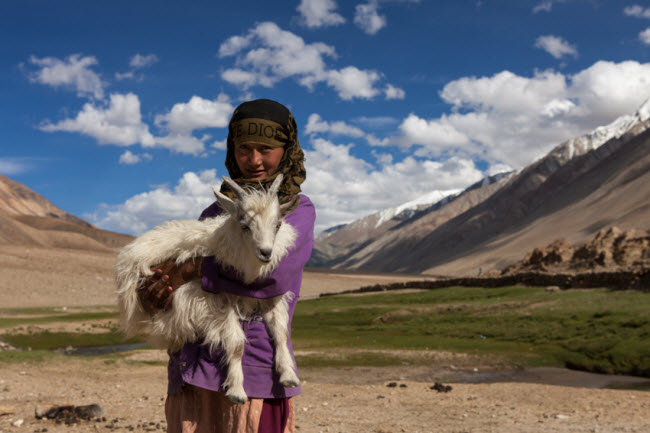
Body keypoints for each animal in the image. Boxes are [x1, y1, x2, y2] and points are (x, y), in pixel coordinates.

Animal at [114, 174, 298, 404]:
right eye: (245, 226)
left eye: (277, 225)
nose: (266, 253)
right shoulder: (216, 302)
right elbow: (237, 345)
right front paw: (237, 391)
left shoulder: (269, 297)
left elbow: (281, 333)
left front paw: (288, 375)